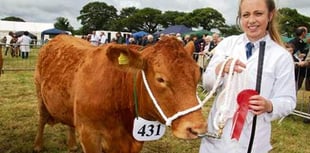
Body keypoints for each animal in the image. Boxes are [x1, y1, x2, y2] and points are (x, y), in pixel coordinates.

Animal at [33, 35, 206, 153]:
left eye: (198, 74)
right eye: (160, 79)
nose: (196, 128)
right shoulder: (89, 136)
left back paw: (72, 145)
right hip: (40, 94)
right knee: (41, 119)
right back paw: (38, 145)